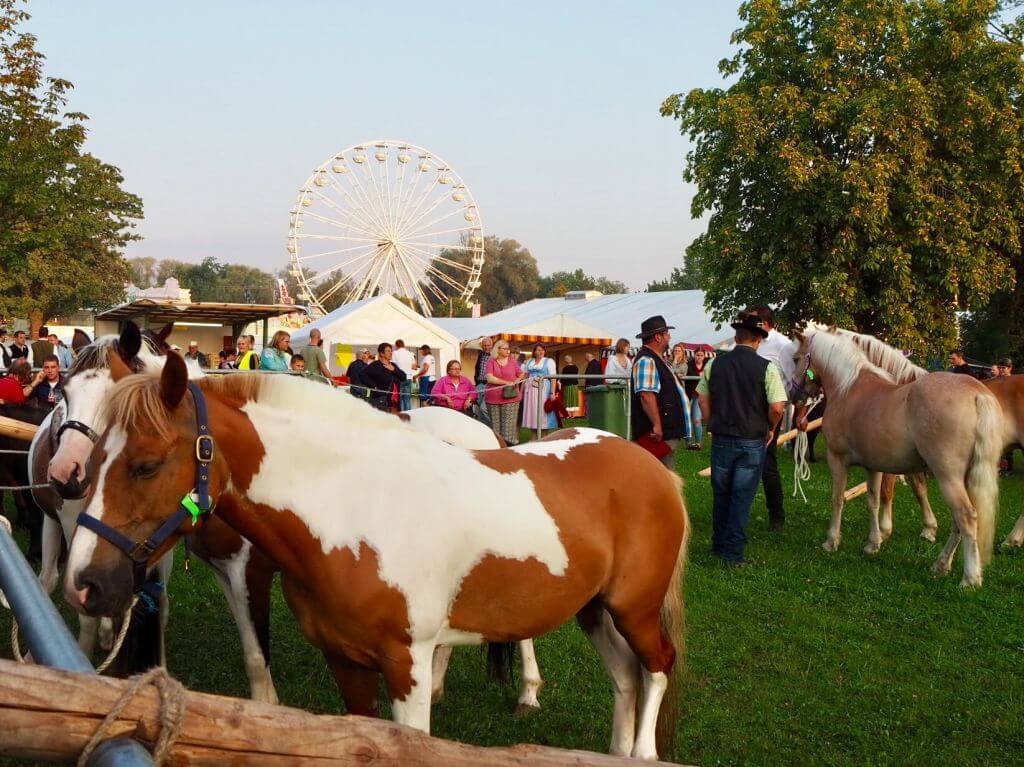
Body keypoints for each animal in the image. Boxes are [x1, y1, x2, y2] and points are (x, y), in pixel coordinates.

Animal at [41, 325, 544, 712]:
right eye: (64, 390)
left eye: (112, 395)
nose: (66, 474)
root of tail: (486, 434)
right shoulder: (224, 572)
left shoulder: (250, 572)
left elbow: (256, 655)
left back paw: (528, 691)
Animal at [61, 352, 688, 761]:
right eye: (96, 458)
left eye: (145, 465)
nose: (84, 583)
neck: (351, 505)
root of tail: (650, 467)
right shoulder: (348, 664)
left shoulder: (407, 666)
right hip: (594, 610)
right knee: (625, 679)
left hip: (633, 609)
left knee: (656, 668)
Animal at [790, 327, 999, 585]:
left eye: (795, 359)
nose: (794, 397)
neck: (848, 387)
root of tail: (976, 393)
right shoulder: (873, 466)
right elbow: (873, 501)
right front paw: (873, 543)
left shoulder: (837, 459)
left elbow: (838, 499)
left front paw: (831, 541)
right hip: (967, 478)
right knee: (959, 522)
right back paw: (941, 565)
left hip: (948, 477)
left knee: (966, 518)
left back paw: (969, 578)